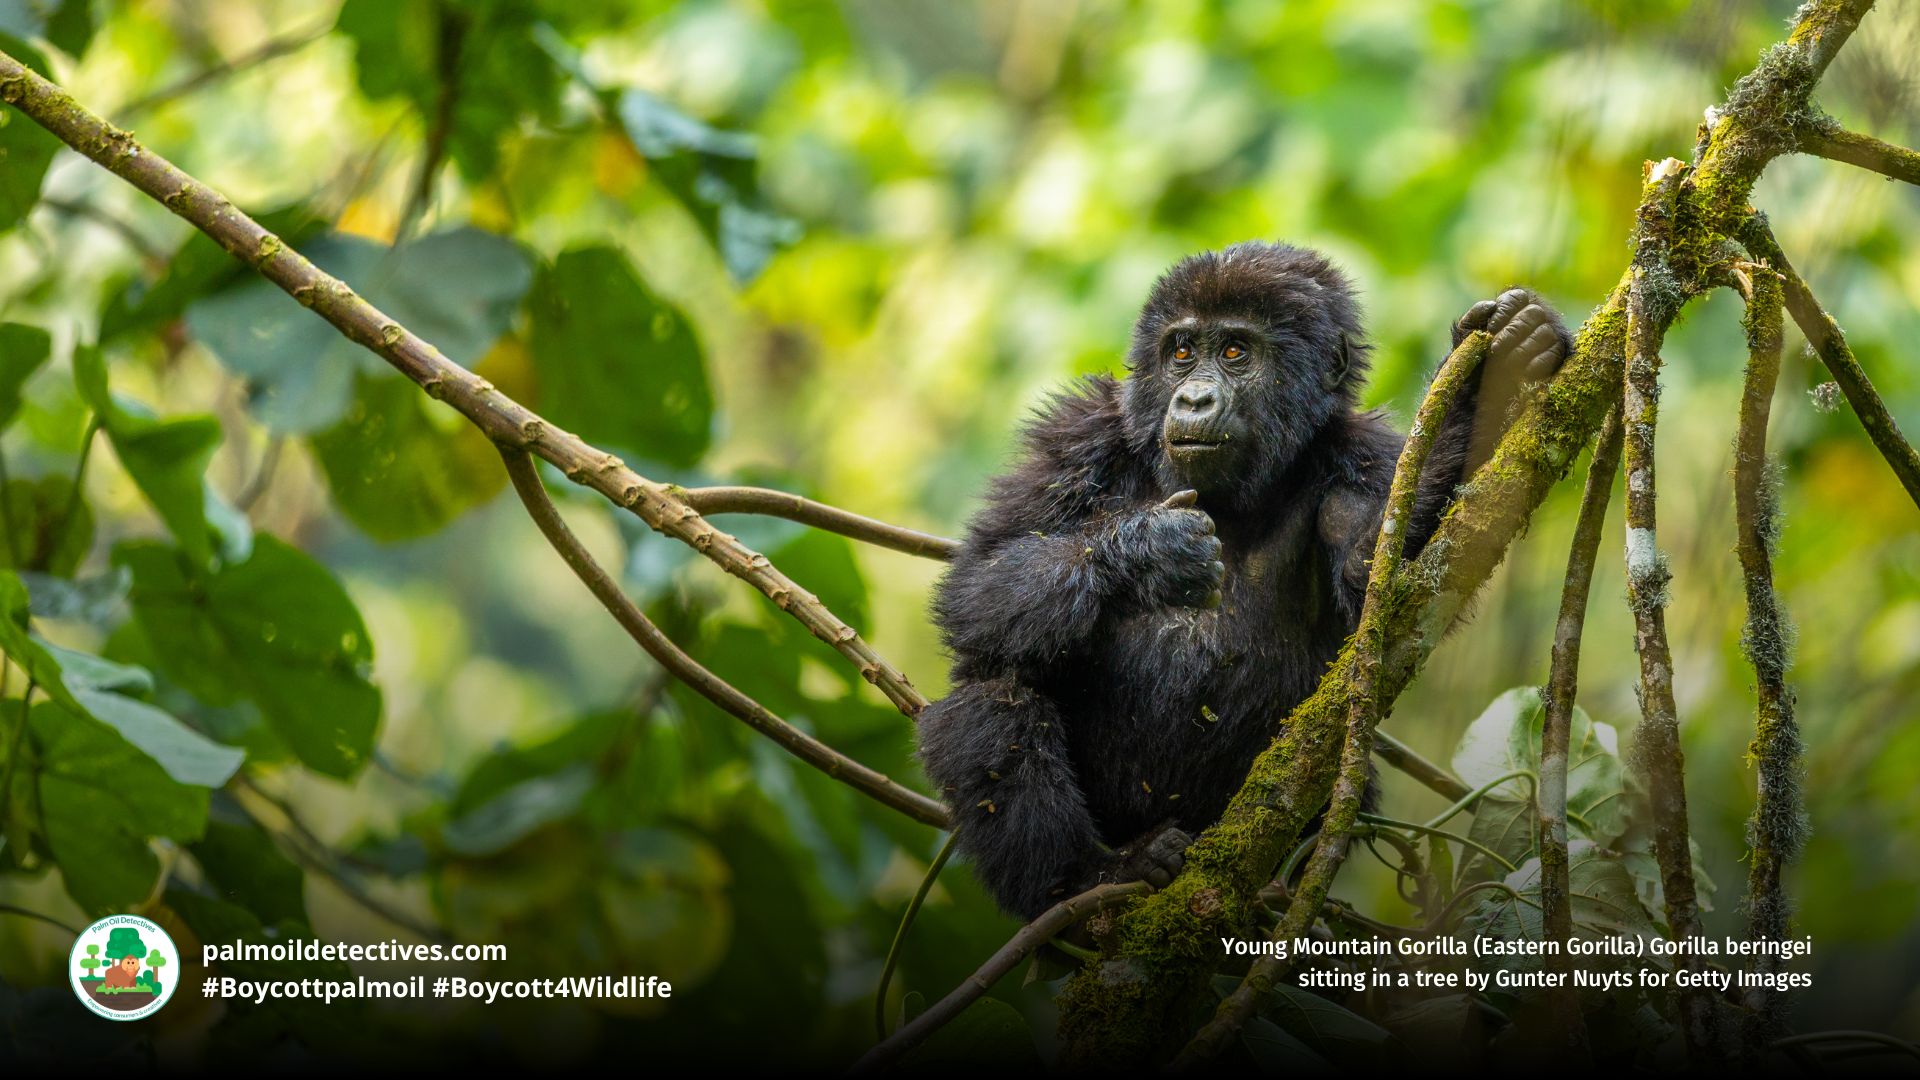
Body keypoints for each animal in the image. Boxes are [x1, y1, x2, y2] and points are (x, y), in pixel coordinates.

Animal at [916, 242, 1571, 919]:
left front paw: (1485, 385)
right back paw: (1088, 876)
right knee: (993, 691)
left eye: (1235, 352)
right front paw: (1152, 551)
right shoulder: (1076, 437)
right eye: (1182, 351)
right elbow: (980, 583)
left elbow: (1384, 582)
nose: (1194, 400)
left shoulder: (1364, 455)